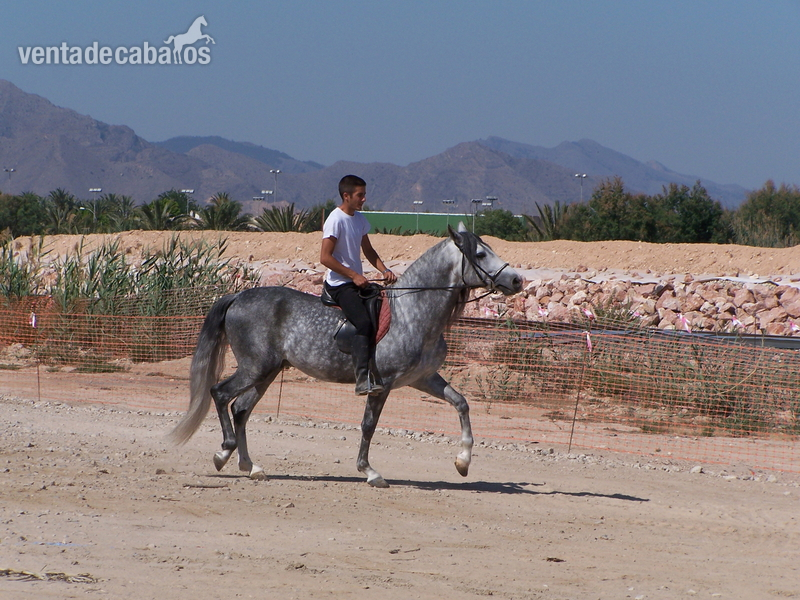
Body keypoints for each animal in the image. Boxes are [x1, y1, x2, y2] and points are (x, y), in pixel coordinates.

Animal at [169, 224, 522, 487]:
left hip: (267, 372)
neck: (411, 311)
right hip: (255, 368)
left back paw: (251, 466)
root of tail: (238, 297)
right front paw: (370, 472)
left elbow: (461, 403)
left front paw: (463, 462)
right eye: (480, 253)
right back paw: (224, 453)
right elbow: (368, 426)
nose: (517, 279)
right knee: (220, 393)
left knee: (241, 409)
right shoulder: (383, 383)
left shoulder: (423, 378)